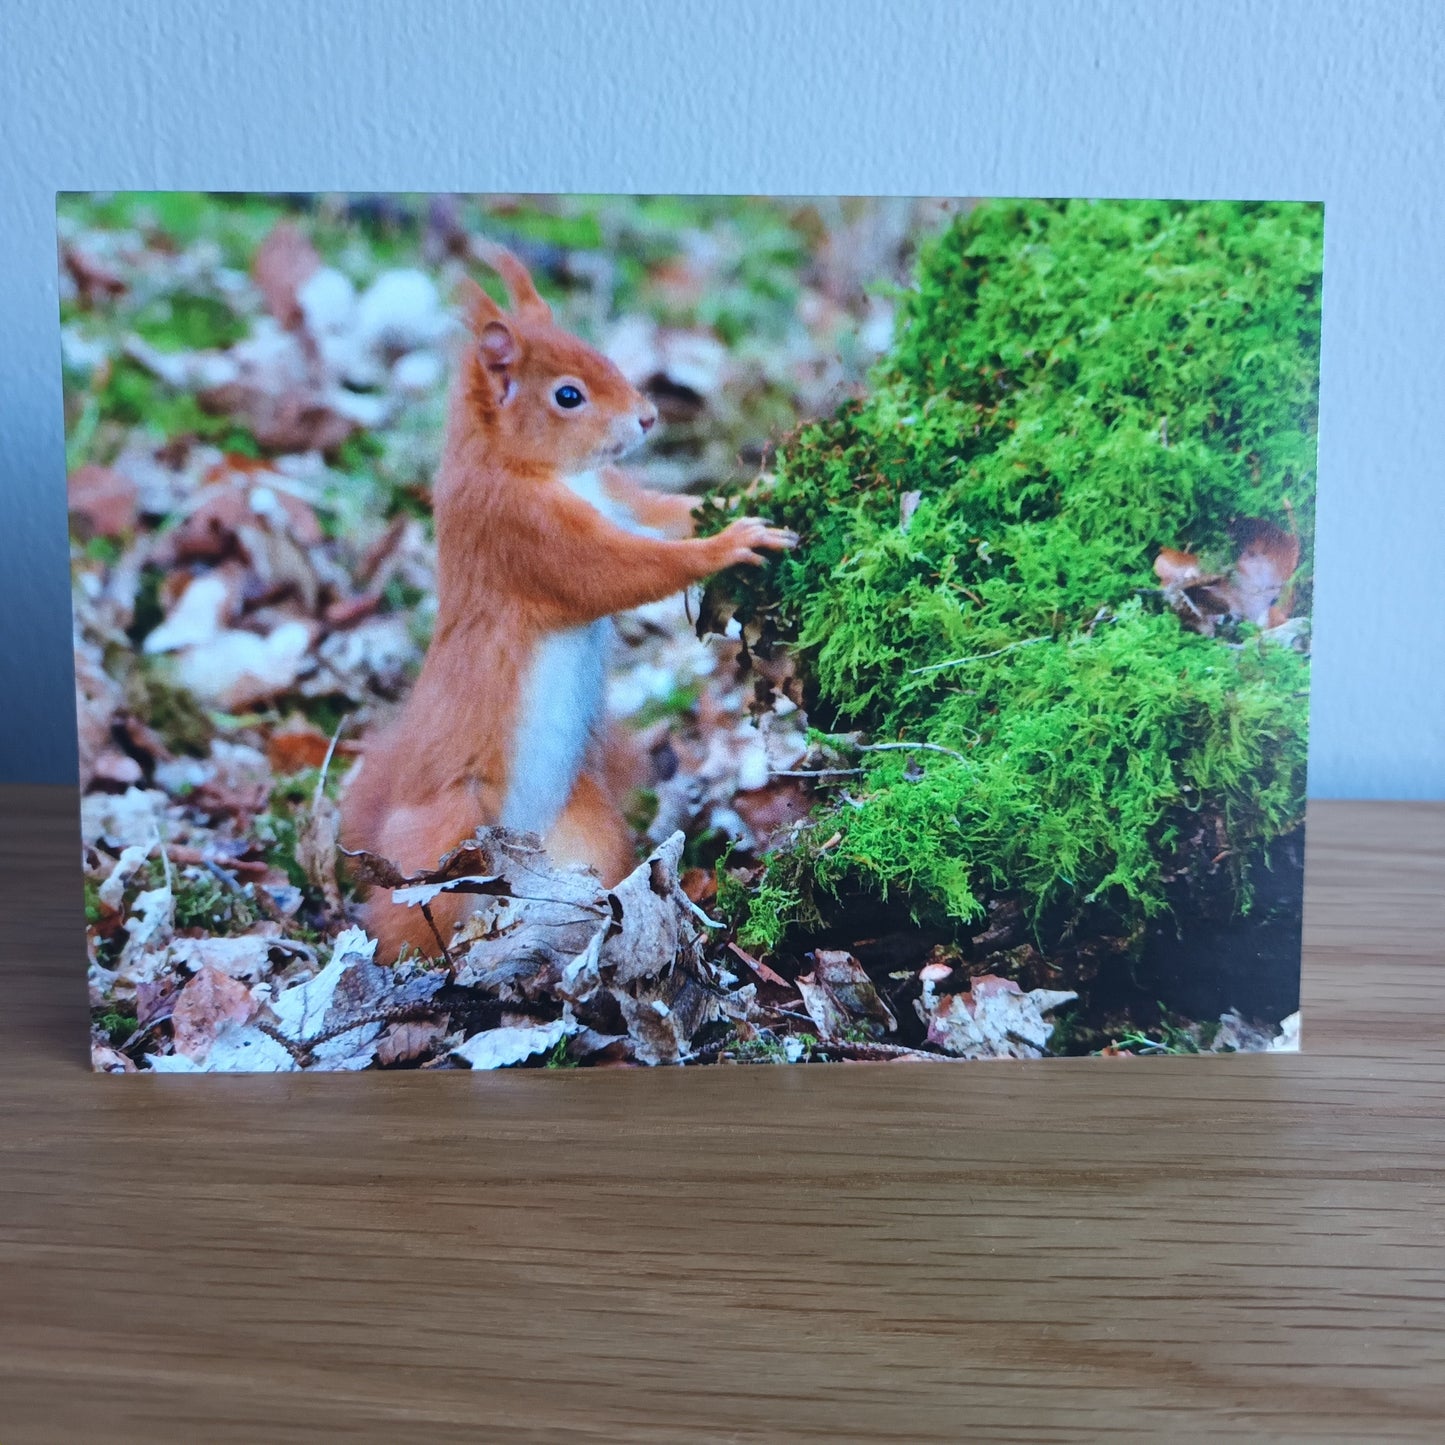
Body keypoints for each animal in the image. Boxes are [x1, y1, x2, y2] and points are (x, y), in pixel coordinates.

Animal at [340, 244, 797, 961]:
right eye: (567, 396)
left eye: (602, 355)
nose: (648, 416)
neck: (533, 467)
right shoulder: (521, 533)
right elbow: (620, 572)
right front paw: (730, 543)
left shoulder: (617, 498)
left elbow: (669, 513)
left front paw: (761, 484)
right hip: (443, 837)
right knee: (404, 922)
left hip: (584, 830)